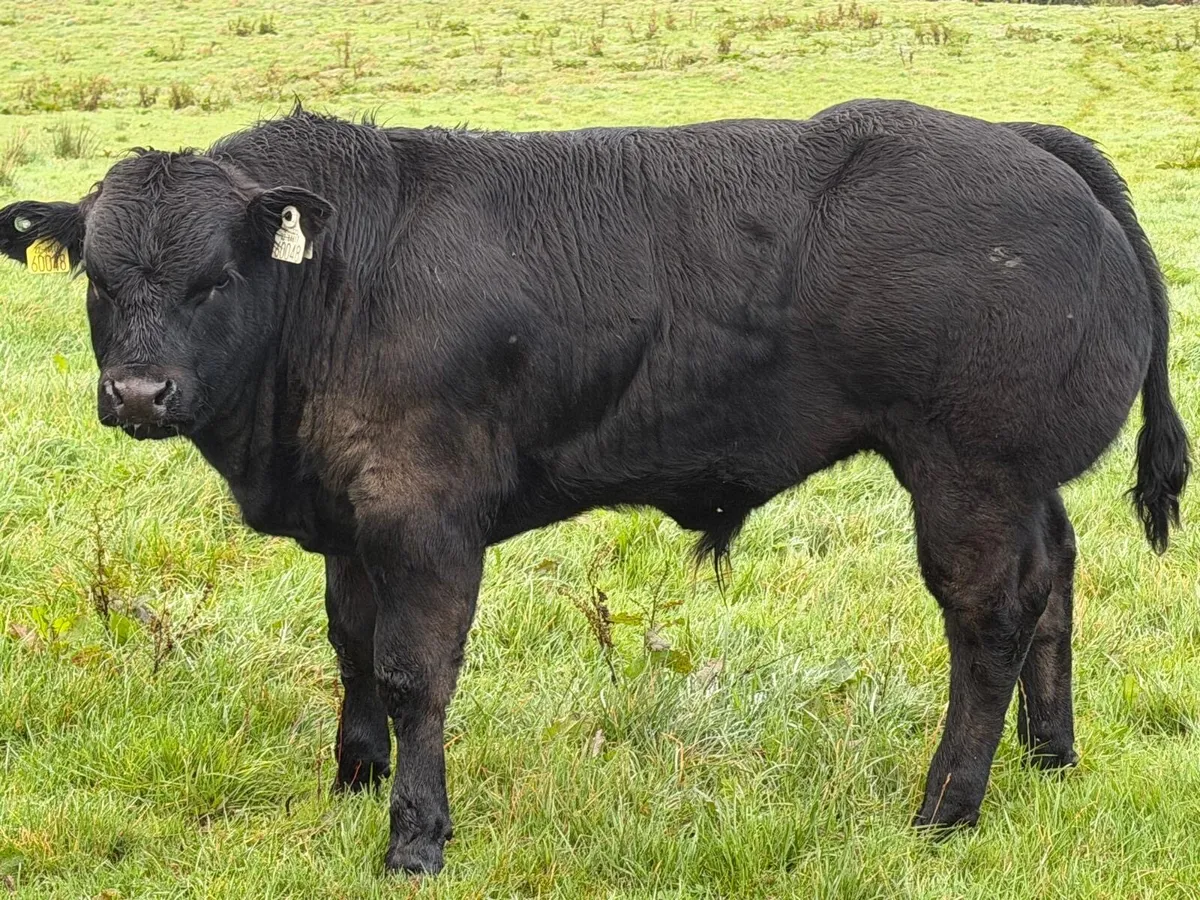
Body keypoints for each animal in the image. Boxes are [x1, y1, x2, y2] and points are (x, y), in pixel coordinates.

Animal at [0, 99, 1188, 875]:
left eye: (213, 279)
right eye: (99, 279)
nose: (139, 393)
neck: (342, 280)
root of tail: (1026, 138)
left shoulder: (426, 511)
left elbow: (411, 672)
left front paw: (415, 836)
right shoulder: (350, 513)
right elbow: (349, 647)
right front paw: (353, 781)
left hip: (967, 473)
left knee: (989, 620)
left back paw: (947, 807)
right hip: (1020, 480)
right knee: (1055, 582)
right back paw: (1049, 756)